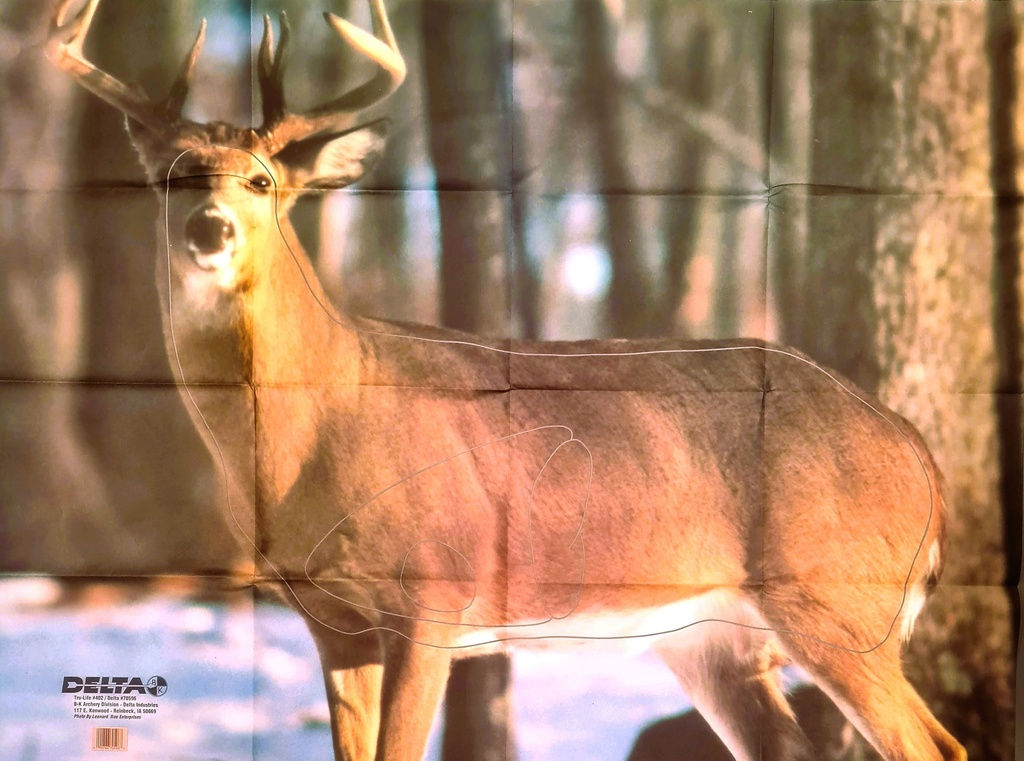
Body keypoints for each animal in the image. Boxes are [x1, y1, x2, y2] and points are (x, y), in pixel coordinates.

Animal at [45, 1, 967, 759]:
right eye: (171, 175)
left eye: (263, 180)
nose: (211, 228)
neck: (316, 427)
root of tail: (922, 453)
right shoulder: (330, 621)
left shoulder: (433, 596)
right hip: (713, 639)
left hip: (839, 598)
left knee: (935, 745)